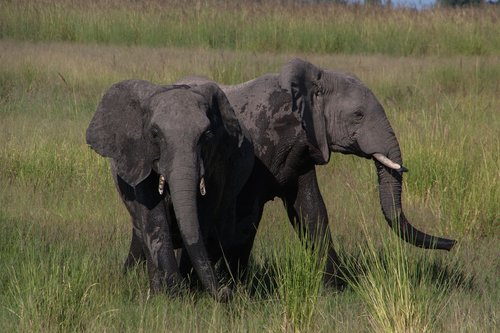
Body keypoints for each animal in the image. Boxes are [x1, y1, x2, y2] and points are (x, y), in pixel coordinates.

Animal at [84, 79, 254, 300]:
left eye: (206, 135)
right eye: (155, 134)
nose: (226, 292)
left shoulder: (217, 166)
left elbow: (201, 220)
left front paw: (186, 290)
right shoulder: (140, 156)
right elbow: (154, 220)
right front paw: (171, 295)